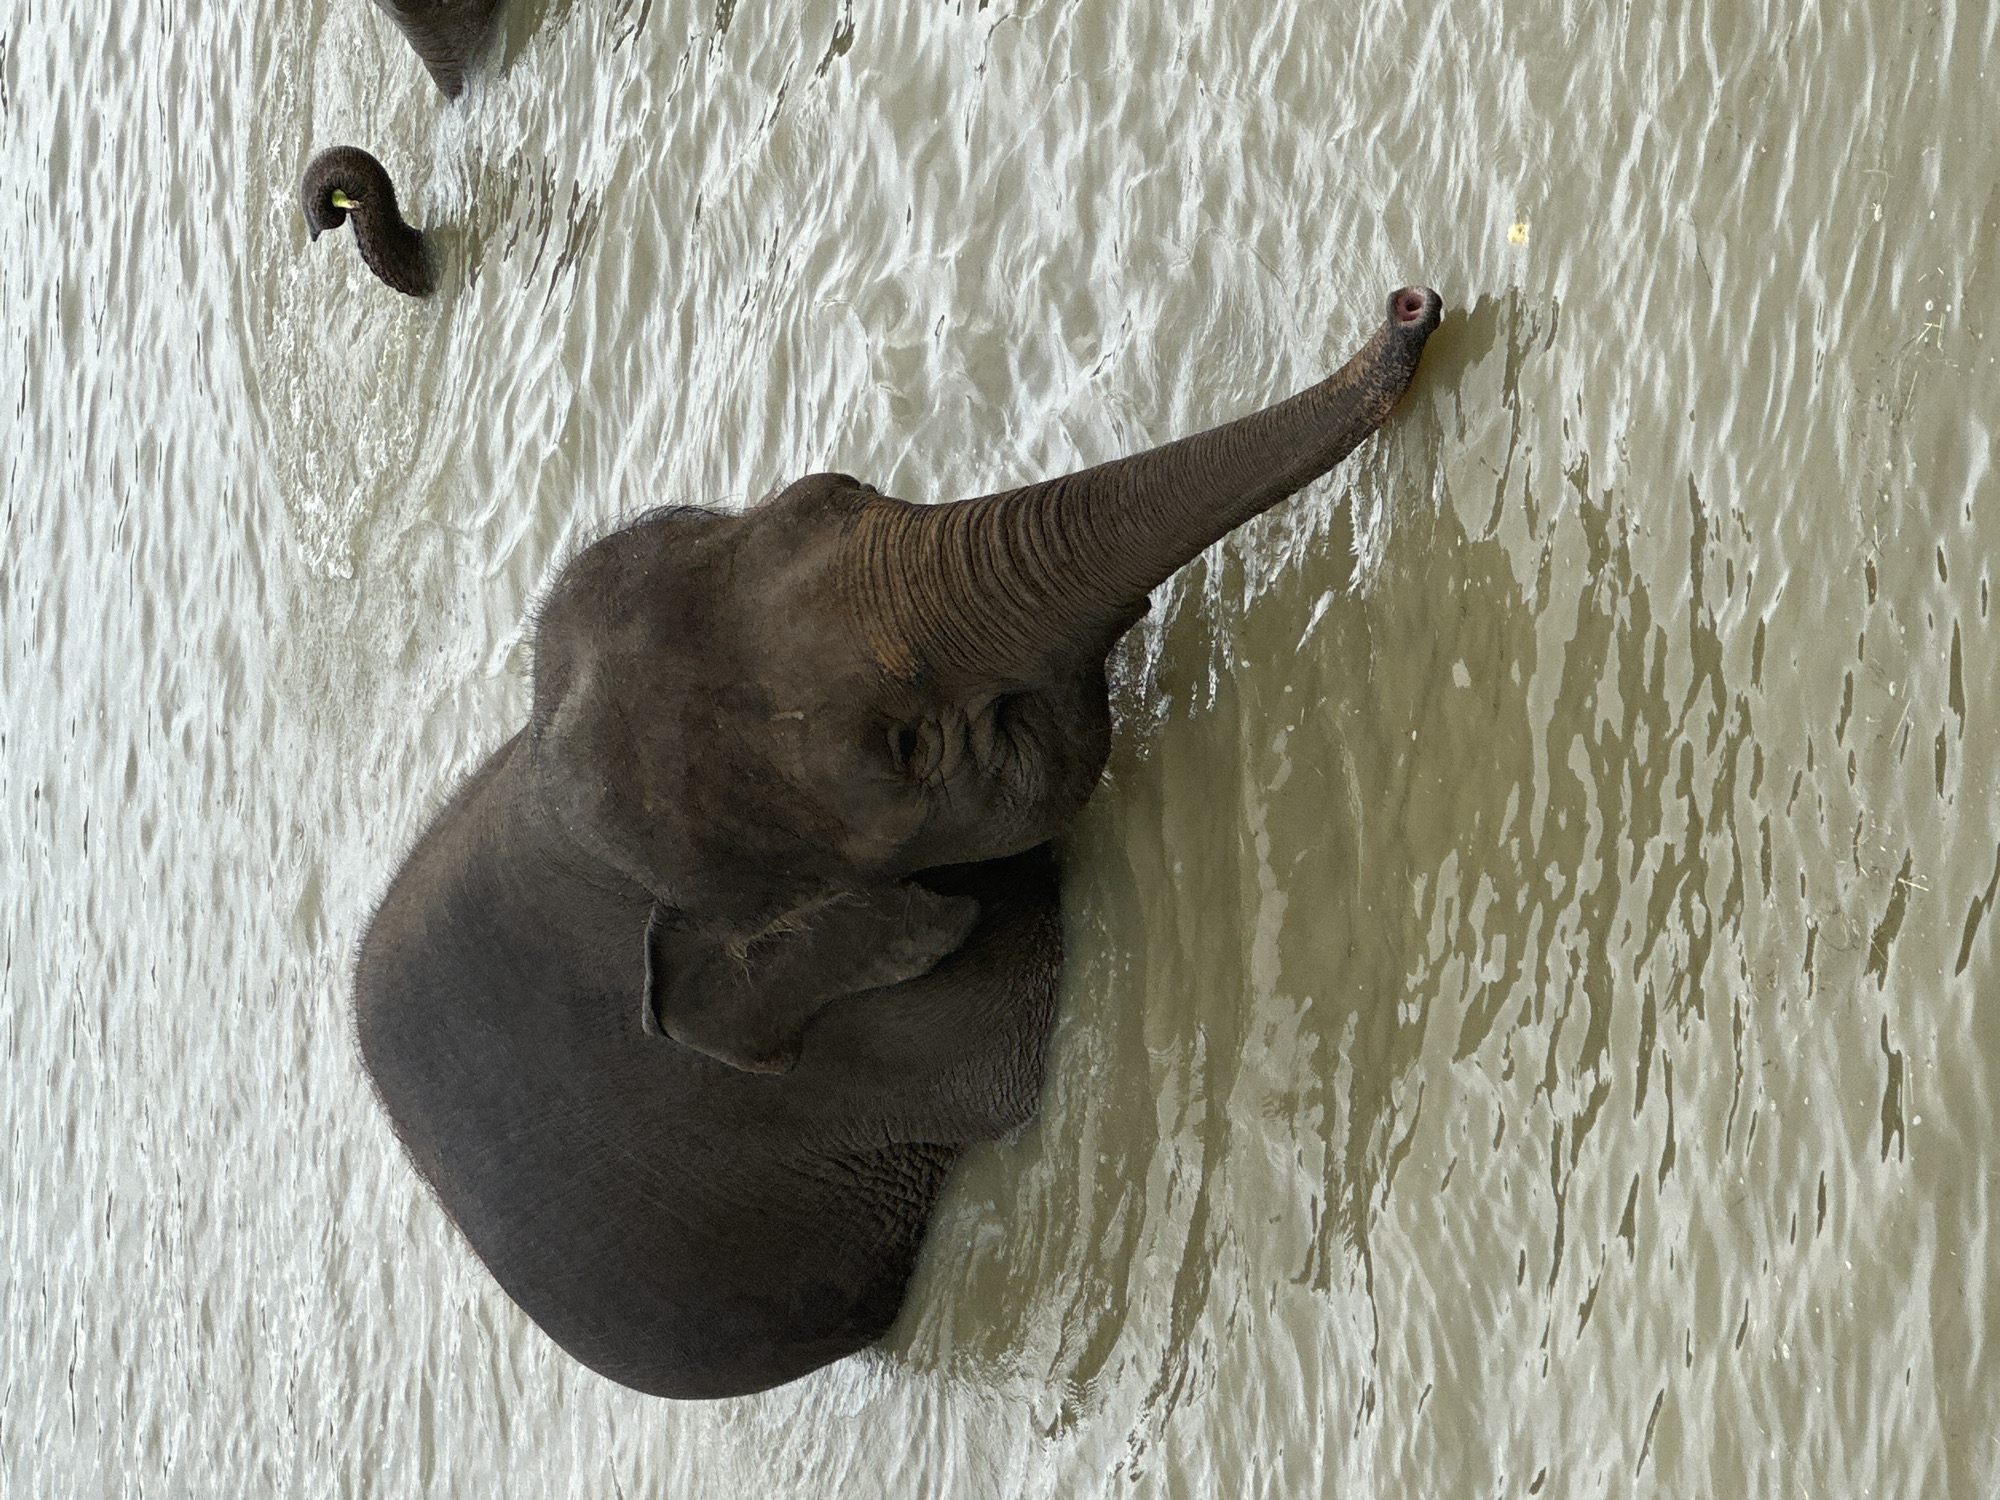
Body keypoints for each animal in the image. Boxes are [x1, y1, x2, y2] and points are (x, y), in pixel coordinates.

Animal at [354, 285, 1444, 1399]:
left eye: (835, 491)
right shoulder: (841, 1056)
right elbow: (1010, 1034)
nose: (1411, 305)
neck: (557, 811)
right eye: (905, 749)